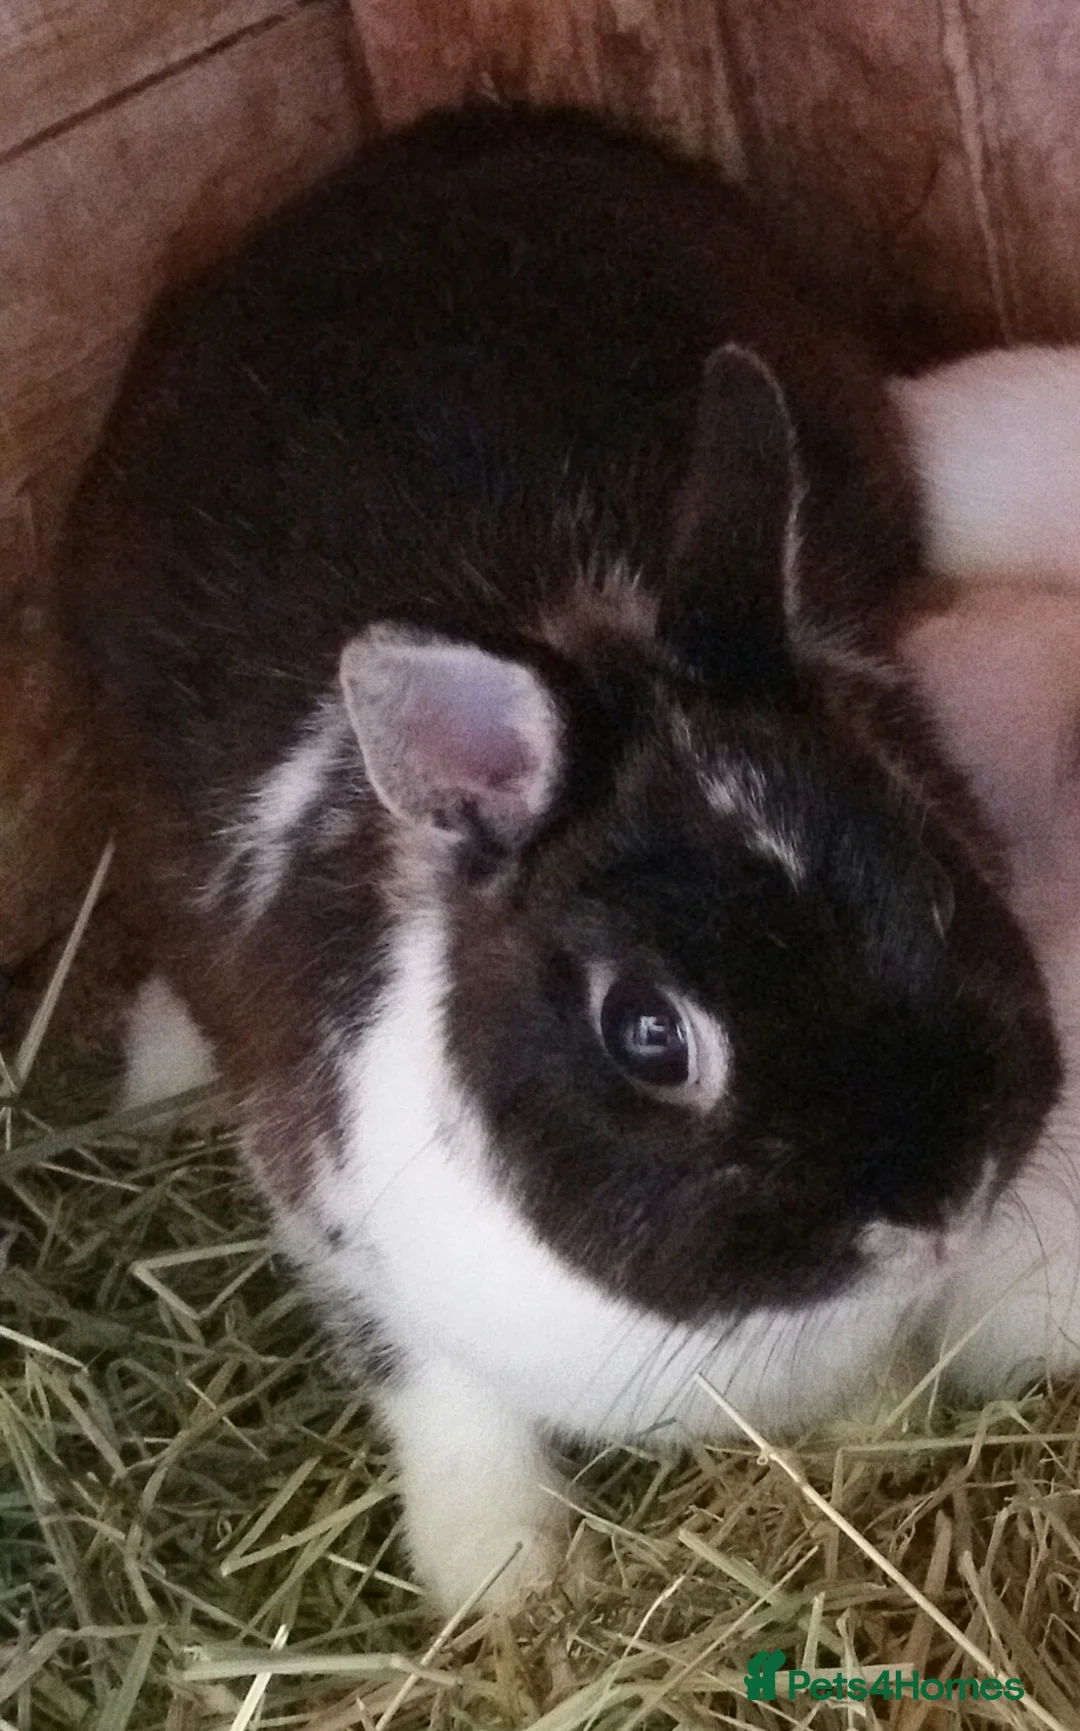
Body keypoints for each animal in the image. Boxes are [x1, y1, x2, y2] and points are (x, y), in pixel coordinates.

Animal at [57, 104, 1060, 1614]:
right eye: (649, 1035)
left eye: (935, 869)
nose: (934, 1203)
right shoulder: (351, 1247)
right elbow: (449, 1414)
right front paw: (499, 1587)